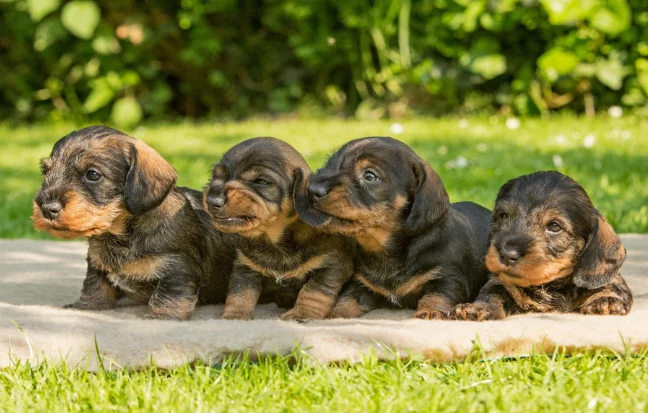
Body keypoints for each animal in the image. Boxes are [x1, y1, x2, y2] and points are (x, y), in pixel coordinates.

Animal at [32, 124, 235, 318]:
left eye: (92, 174)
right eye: (45, 171)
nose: (47, 208)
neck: (122, 235)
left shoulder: (178, 269)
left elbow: (167, 298)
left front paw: (161, 316)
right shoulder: (97, 267)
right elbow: (93, 288)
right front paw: (84, 307)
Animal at [204, 137, 352, 320]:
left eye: (261, 181)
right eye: (215, 176)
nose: (212, 201)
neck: (273, 241)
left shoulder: (332, 266)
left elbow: (313, 292)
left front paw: (301, 313)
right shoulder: (245, 268)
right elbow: (239, 294)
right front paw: (233, 316)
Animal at [294, 137, 492, 320]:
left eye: (370, 176)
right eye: (328, 164)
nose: (312, 189)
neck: (384, 251)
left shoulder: (448, 278)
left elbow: (437, 296)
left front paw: (430, 312)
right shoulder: (360, 284)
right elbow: (347, 300)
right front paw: (335, 315)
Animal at [450, 169, 632, 320]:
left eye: (554, 226)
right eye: (503, 216)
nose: (507, 254)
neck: (551, 286)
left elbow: (612, 286)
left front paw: (606, 300)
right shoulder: (501, 282)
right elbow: (492, 293)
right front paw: (477, 308)